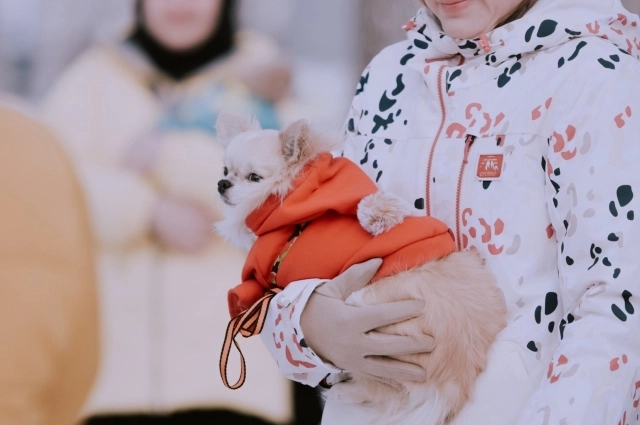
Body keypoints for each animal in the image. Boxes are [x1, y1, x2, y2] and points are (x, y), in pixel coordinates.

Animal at [215, 112, 507, 425]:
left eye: (253, 177)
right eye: (225, 169)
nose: (222, 183)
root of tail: (455, 376)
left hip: (374, 335)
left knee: (381, 389)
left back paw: (344, 391)